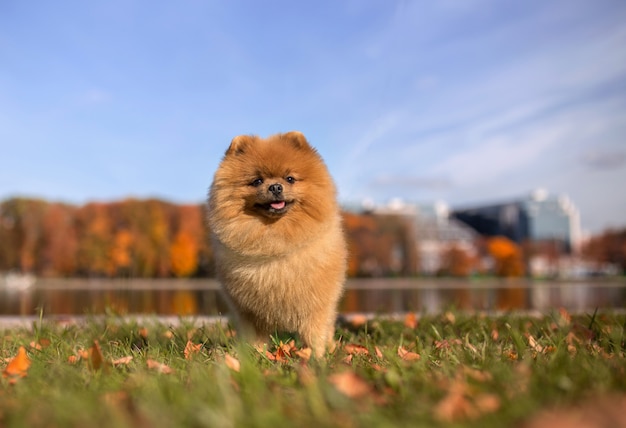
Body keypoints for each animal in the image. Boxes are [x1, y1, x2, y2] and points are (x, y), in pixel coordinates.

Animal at [208, 131, 346, 358]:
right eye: (257, 181)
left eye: (290, 178)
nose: (275, 187)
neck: (276, 240)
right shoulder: (250, 312)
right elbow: (255, 339)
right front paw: (255, 358)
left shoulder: (316, 306)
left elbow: (314, 335)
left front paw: (316, 359)